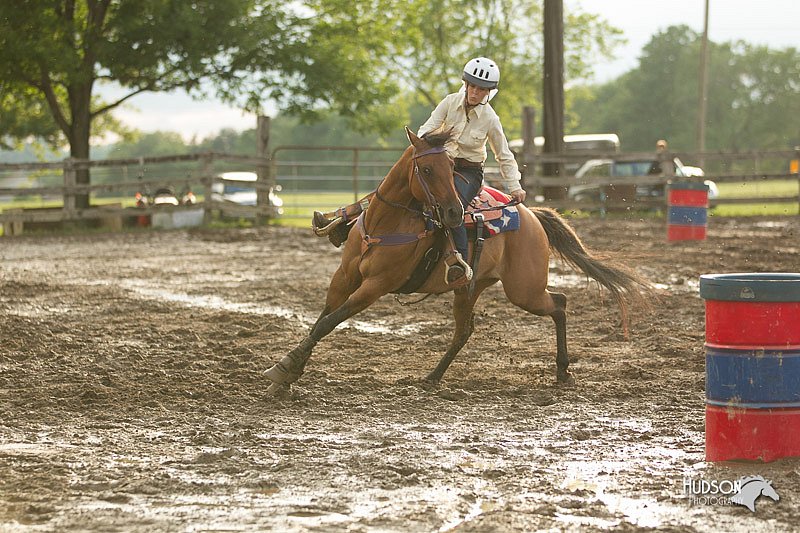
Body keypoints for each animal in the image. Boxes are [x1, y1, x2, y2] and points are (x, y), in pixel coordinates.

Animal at [268, 128, 648, 394]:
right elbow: (322, 320)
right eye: (426, 169)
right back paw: (432, 377)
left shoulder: (376, 286)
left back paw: (563, 370)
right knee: (464, 331)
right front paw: (289, 372)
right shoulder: (344, 277)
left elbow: (330, 322)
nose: (452, 212)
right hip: (470, 287)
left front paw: (284, 367)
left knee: (560, 303)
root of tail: (531, 215)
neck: (384, 224)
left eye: (450, 167)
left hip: (523, 290)